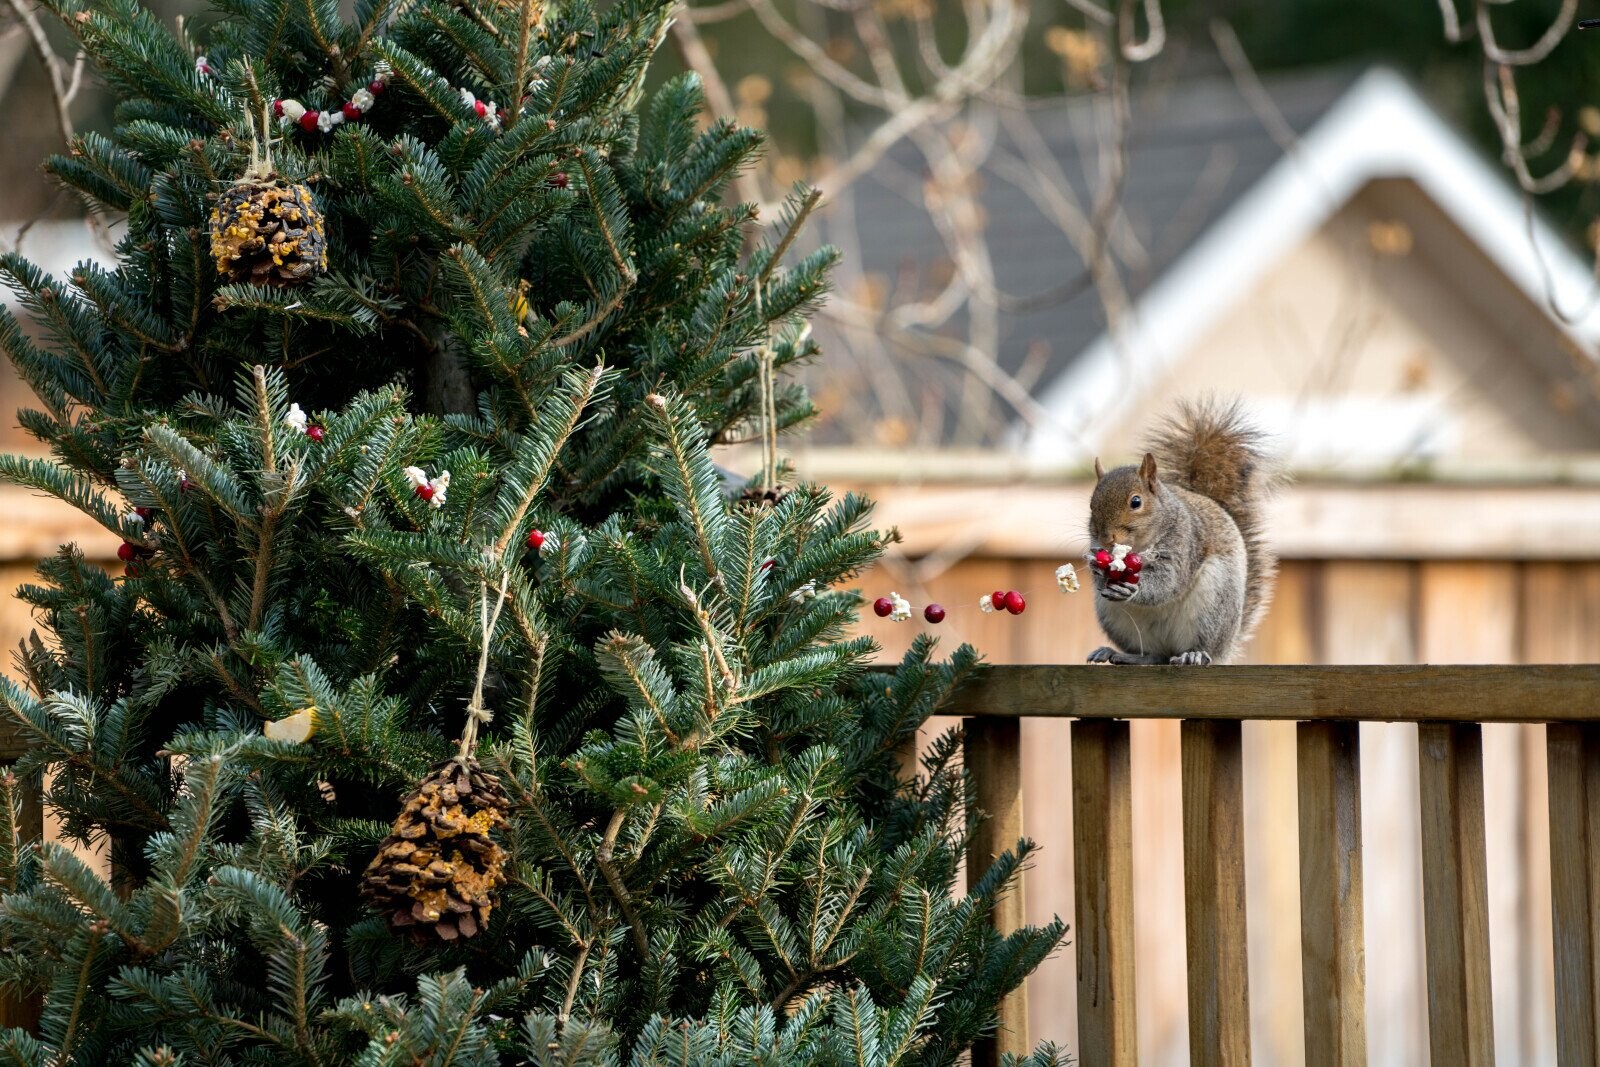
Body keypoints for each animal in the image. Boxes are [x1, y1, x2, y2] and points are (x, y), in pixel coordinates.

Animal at [1085, 399, 1282, 666]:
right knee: (1153, 656)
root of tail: (1226, 648)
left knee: (1201, 649)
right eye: (1091, 505)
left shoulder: (1184, 542)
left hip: (1213, 607)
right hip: (1115, 618)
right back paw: (1119, 654)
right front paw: (1095, 566)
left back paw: (1194, 654)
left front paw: (1133, 589)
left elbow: (1168, 581)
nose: (1106, 539)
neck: (1138, 546)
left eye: (1136, 502)